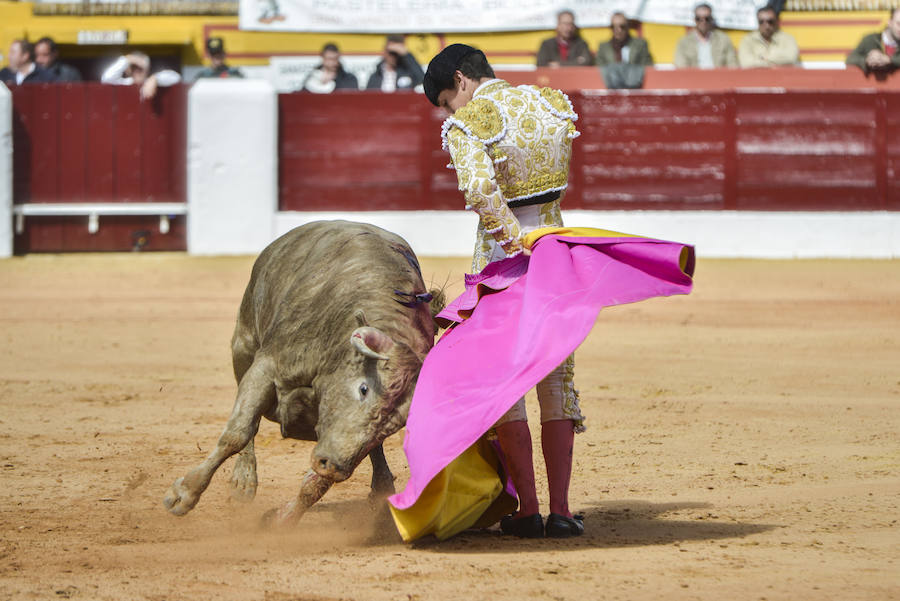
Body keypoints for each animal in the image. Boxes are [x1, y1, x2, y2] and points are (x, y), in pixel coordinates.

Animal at [164, 220, 442, 524]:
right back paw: (242, 481)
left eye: (399, 422)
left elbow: (318, 480)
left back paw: (381, 488)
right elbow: (237, 432)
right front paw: (184, 494)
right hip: (243, 342)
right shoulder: (267, 365)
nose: (332, 464)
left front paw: (283, 519)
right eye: (363, 388)